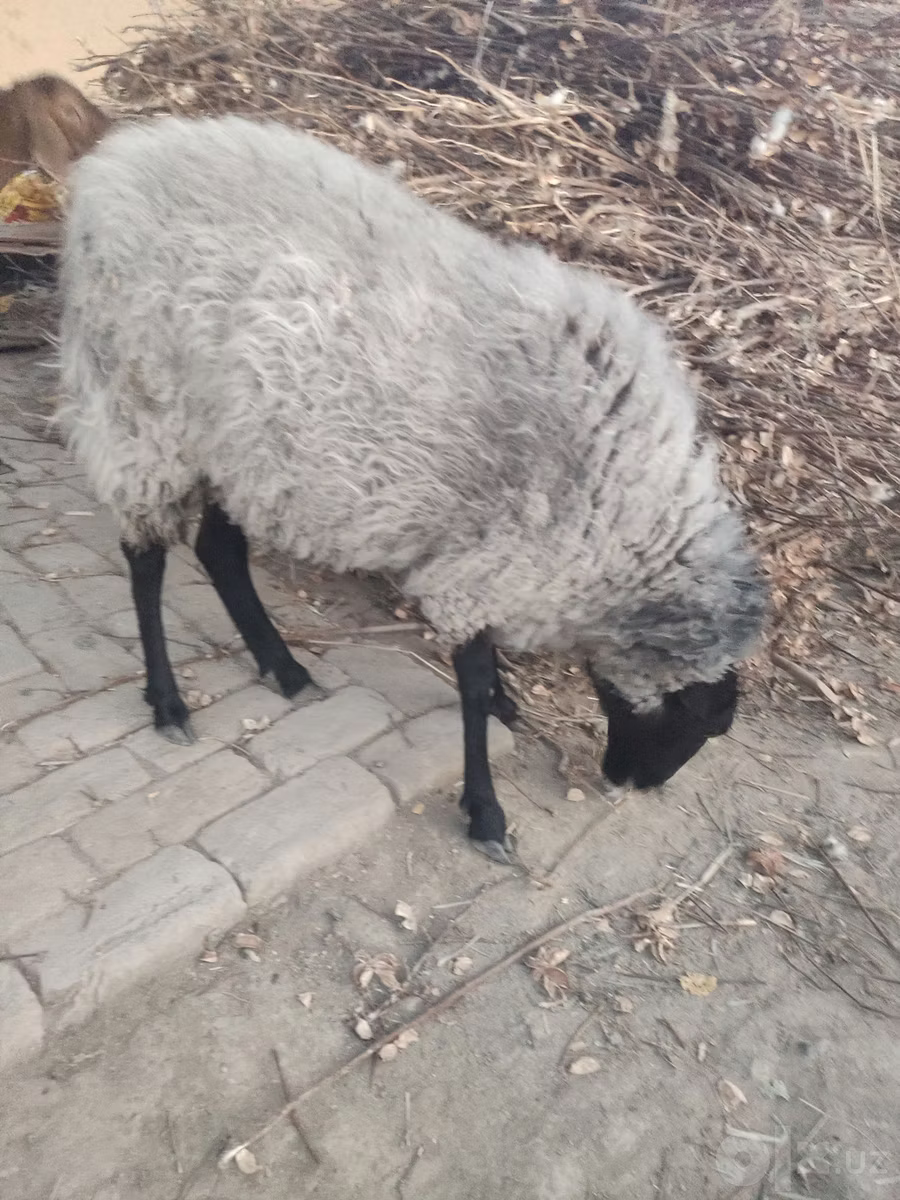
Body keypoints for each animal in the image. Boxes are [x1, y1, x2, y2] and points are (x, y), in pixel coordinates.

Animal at [58, 115, 765, 862]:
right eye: (698, 721)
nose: (636, 783)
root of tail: (111, 161)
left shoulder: (490, 563)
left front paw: (504, 709)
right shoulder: (487, 565)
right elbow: (472, 679)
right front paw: (486, 811)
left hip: (239, 440)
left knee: (219, 551)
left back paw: (283, 668)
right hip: (139, 407)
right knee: (146, 556)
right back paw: (168, 702)